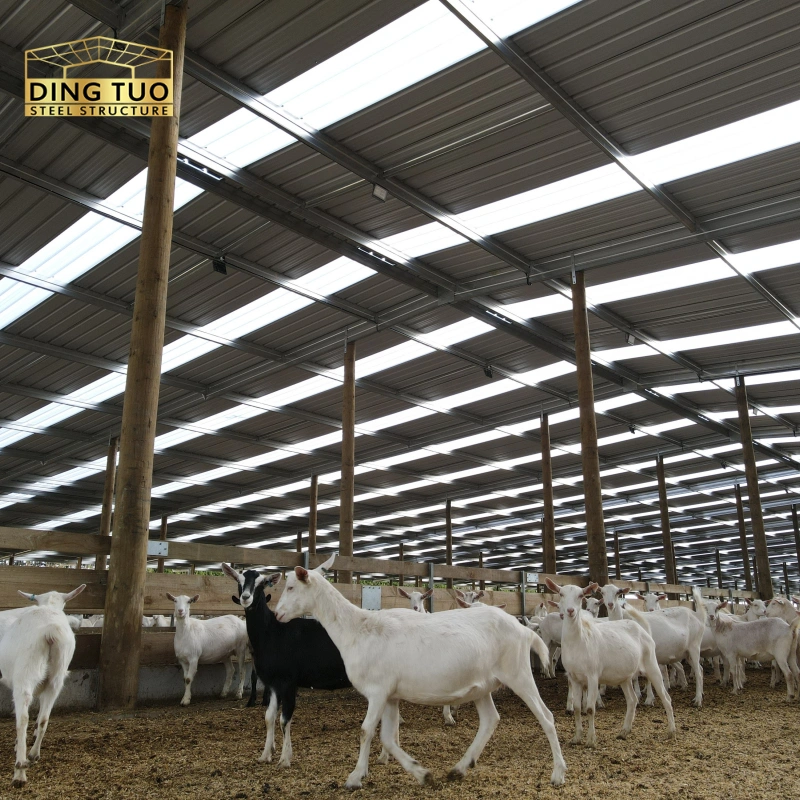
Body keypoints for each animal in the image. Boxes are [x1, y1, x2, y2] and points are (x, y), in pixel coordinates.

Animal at [0, 584, 85, 787]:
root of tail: (51, 631)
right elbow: (40, 717)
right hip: (56, 678)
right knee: (44, 718)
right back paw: (33, 754)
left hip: (25, 673)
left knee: (22, 719)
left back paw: (19, 770)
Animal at [222, 563, 351, 767]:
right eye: (238, 580)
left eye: (262, 584)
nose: (246, 597)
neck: (272, 632)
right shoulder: (274, 683)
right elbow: (269, 717)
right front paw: (265, 754)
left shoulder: (289, 681)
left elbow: (284, 719)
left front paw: (284, 758)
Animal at [275, 555, 566, 788]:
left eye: (290, 587)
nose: (277, 614)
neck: (357, 628)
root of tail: (524, 631)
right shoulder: (390, 695)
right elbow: (388, 737)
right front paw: (421, 773)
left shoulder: (377, 691)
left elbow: (366, 731)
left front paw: (354, 777)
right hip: (483, 685)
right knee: (490, 720)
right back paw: (459, 768)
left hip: (518, 674)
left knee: (546, 717)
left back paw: (558, 774)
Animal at [547, 578, 675, 747]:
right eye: (561, 594)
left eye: (581, 595)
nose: (569, 611)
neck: (579, 640)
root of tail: (643, 630)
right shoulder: (574, 677)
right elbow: (577, 708)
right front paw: (576, 738)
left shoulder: (592, 675)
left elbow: (590, 708)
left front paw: (591, 740)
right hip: (625, 676)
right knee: (632, 700)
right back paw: (624, 731)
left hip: (651, 664)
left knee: (666, 697)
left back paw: (671, 731)